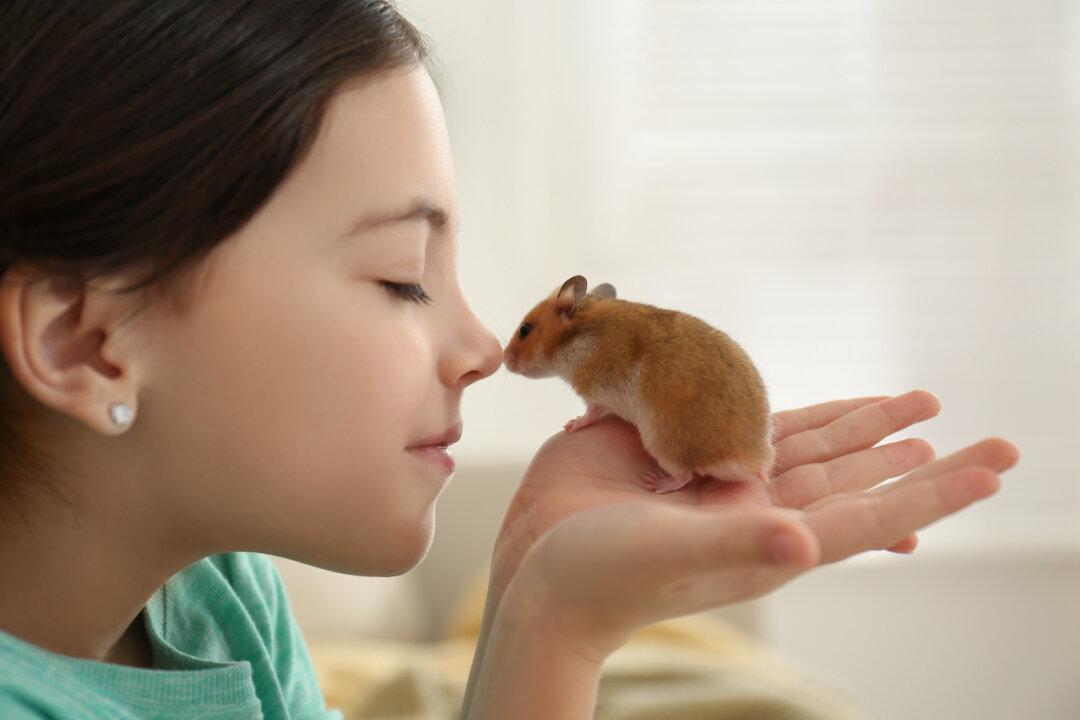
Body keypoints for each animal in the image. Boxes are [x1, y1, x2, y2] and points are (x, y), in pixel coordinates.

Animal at [503, 275, 775, 494]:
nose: (504, 360)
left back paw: (656, 483)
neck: (578, 336)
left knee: (685, 475)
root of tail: (756, 459)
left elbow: (590, 414)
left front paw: (572, 425)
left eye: (525, 329)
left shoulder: (596, 395)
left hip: (661, 443)